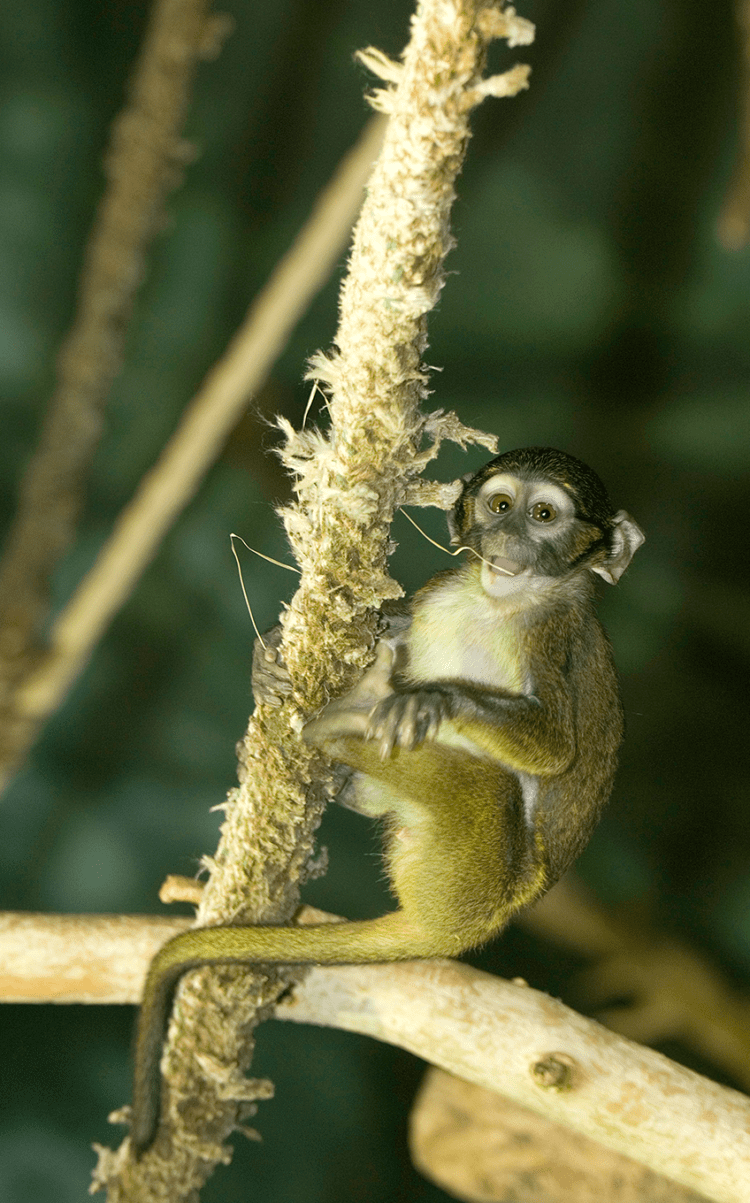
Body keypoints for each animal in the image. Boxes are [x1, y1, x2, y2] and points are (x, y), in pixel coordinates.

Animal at [128, 447, 645, 1150]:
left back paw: (339, 726)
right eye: (501, 506)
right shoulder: (444, 586)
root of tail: (459, 927)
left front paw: (435, 699)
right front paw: (266, 662)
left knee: (493, 785)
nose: (507, 540)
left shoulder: (555, 634)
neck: (498, 602)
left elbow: (554, 750)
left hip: (477, 864)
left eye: (544, 516)